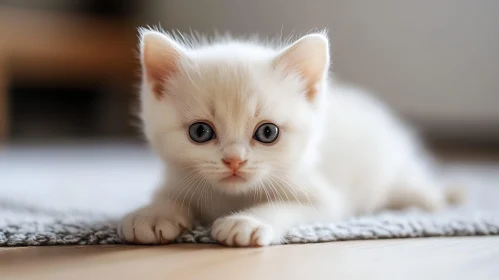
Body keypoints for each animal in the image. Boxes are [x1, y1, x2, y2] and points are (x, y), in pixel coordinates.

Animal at [118, 28, 464, 246]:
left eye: (267, 132)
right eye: (200, 132)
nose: (234, 160)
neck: (231, 197)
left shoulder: (324, 199)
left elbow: (284, 206)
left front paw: (248, 221)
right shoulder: (177, 177)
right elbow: (170, 195)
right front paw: (152, 214)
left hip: (391, 166)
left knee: (411, 183)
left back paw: (438, 196)